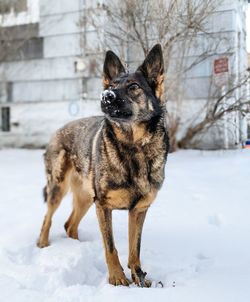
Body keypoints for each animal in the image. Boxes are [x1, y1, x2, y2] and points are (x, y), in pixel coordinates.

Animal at [37, 43, 169, 286]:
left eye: (133, 86)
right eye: (112, 86)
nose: (106, 95)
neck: (133, 147)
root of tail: (57, 131)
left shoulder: (139, 211)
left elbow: (135, 249)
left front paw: (139, 278)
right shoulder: (104, 206)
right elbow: (111, 247)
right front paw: (117, 278)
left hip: (86, 199)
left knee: (69, 225)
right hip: (60, 189)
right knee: (47, 218)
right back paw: (42, 243)